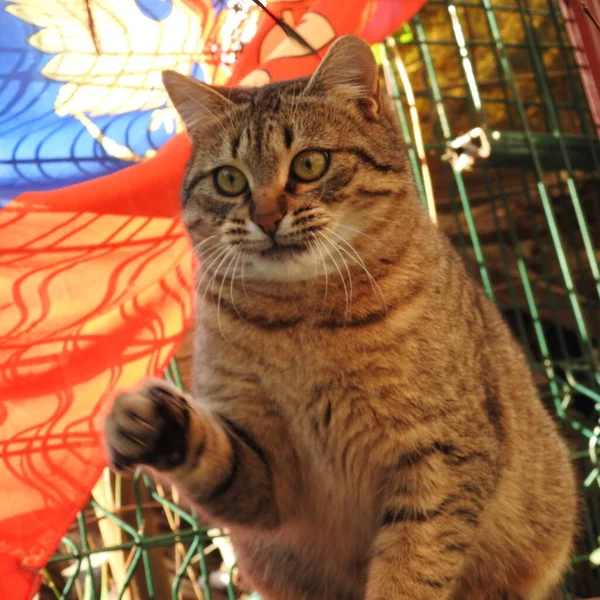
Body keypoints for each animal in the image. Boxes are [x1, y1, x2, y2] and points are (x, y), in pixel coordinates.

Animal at [105, 35, 580, 596]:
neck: (302, 319)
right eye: (229, 180)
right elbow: (217, 456)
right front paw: (152, 424)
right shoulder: (269, 474)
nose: (266, 217)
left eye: (310, 163)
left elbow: (412, 569)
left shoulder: (441, 452)